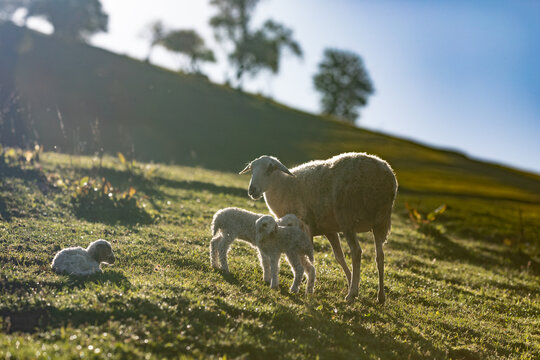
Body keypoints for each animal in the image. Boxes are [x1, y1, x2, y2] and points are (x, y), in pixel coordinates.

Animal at [239, 153, 396, 304]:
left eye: (270, 169)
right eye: (252, 170)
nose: (252, 190)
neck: (284, 185)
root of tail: (386, 175)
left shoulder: (305, 227)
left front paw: (306, 283)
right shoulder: (329, 230)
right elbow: (339, 257)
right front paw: (352, 282)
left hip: (348, 218)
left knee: (356, 252)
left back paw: (351, 295)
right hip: (380, 223)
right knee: (379, 256)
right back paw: (380, 296)